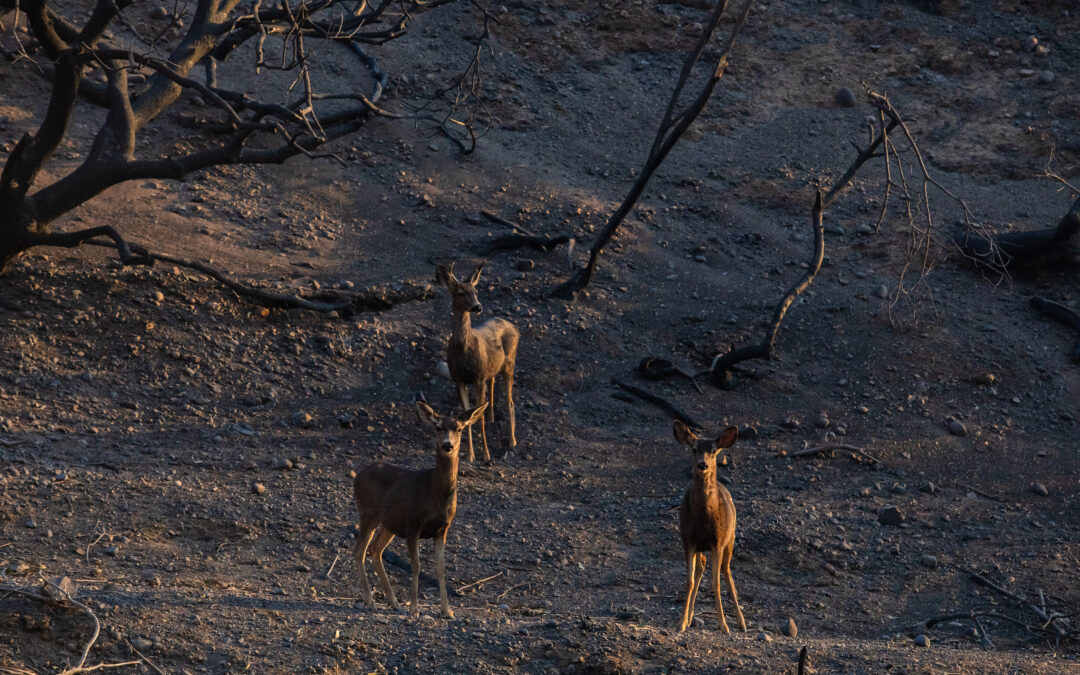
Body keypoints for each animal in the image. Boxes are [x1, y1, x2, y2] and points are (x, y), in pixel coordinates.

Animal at [349, 399, 486, 617]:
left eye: (459, 429)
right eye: (438, 428)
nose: (447, 445)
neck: (436, 493)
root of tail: (357, 476)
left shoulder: (442, 529)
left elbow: (440, 568)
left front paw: (447, 611)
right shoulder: (413, 523)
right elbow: (416, 565)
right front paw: (414, 608)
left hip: (389, 523)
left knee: (375, 549)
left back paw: (394, 602)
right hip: (368, 513)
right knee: (358, 550)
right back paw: (370, 601)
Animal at [438, 262, 522, 462]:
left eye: (476, 291)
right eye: (460, 292)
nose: (478, 306)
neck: (463, 349)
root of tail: (514, 327)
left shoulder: (478, 377)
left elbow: (479, 417)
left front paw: (485, 454)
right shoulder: (458, 379)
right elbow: (466, 416)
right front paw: (470, 455)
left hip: (510, 365)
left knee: (510, 402)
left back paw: (512, 442)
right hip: (492, 369)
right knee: (493, 385)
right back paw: (493, 418)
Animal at [669, 419, 747, 635]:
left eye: (713, 451)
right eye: (694, 449)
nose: (702, 464)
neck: (703, 517)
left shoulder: (717, 542)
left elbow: (716, 583)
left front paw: (723, 625)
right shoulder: (688, 540)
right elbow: (689, 581)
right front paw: (680, 622)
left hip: (730, 538)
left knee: (727, 572)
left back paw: (741, 622)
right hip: (702, 547)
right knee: (701, 566)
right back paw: (689, 618)